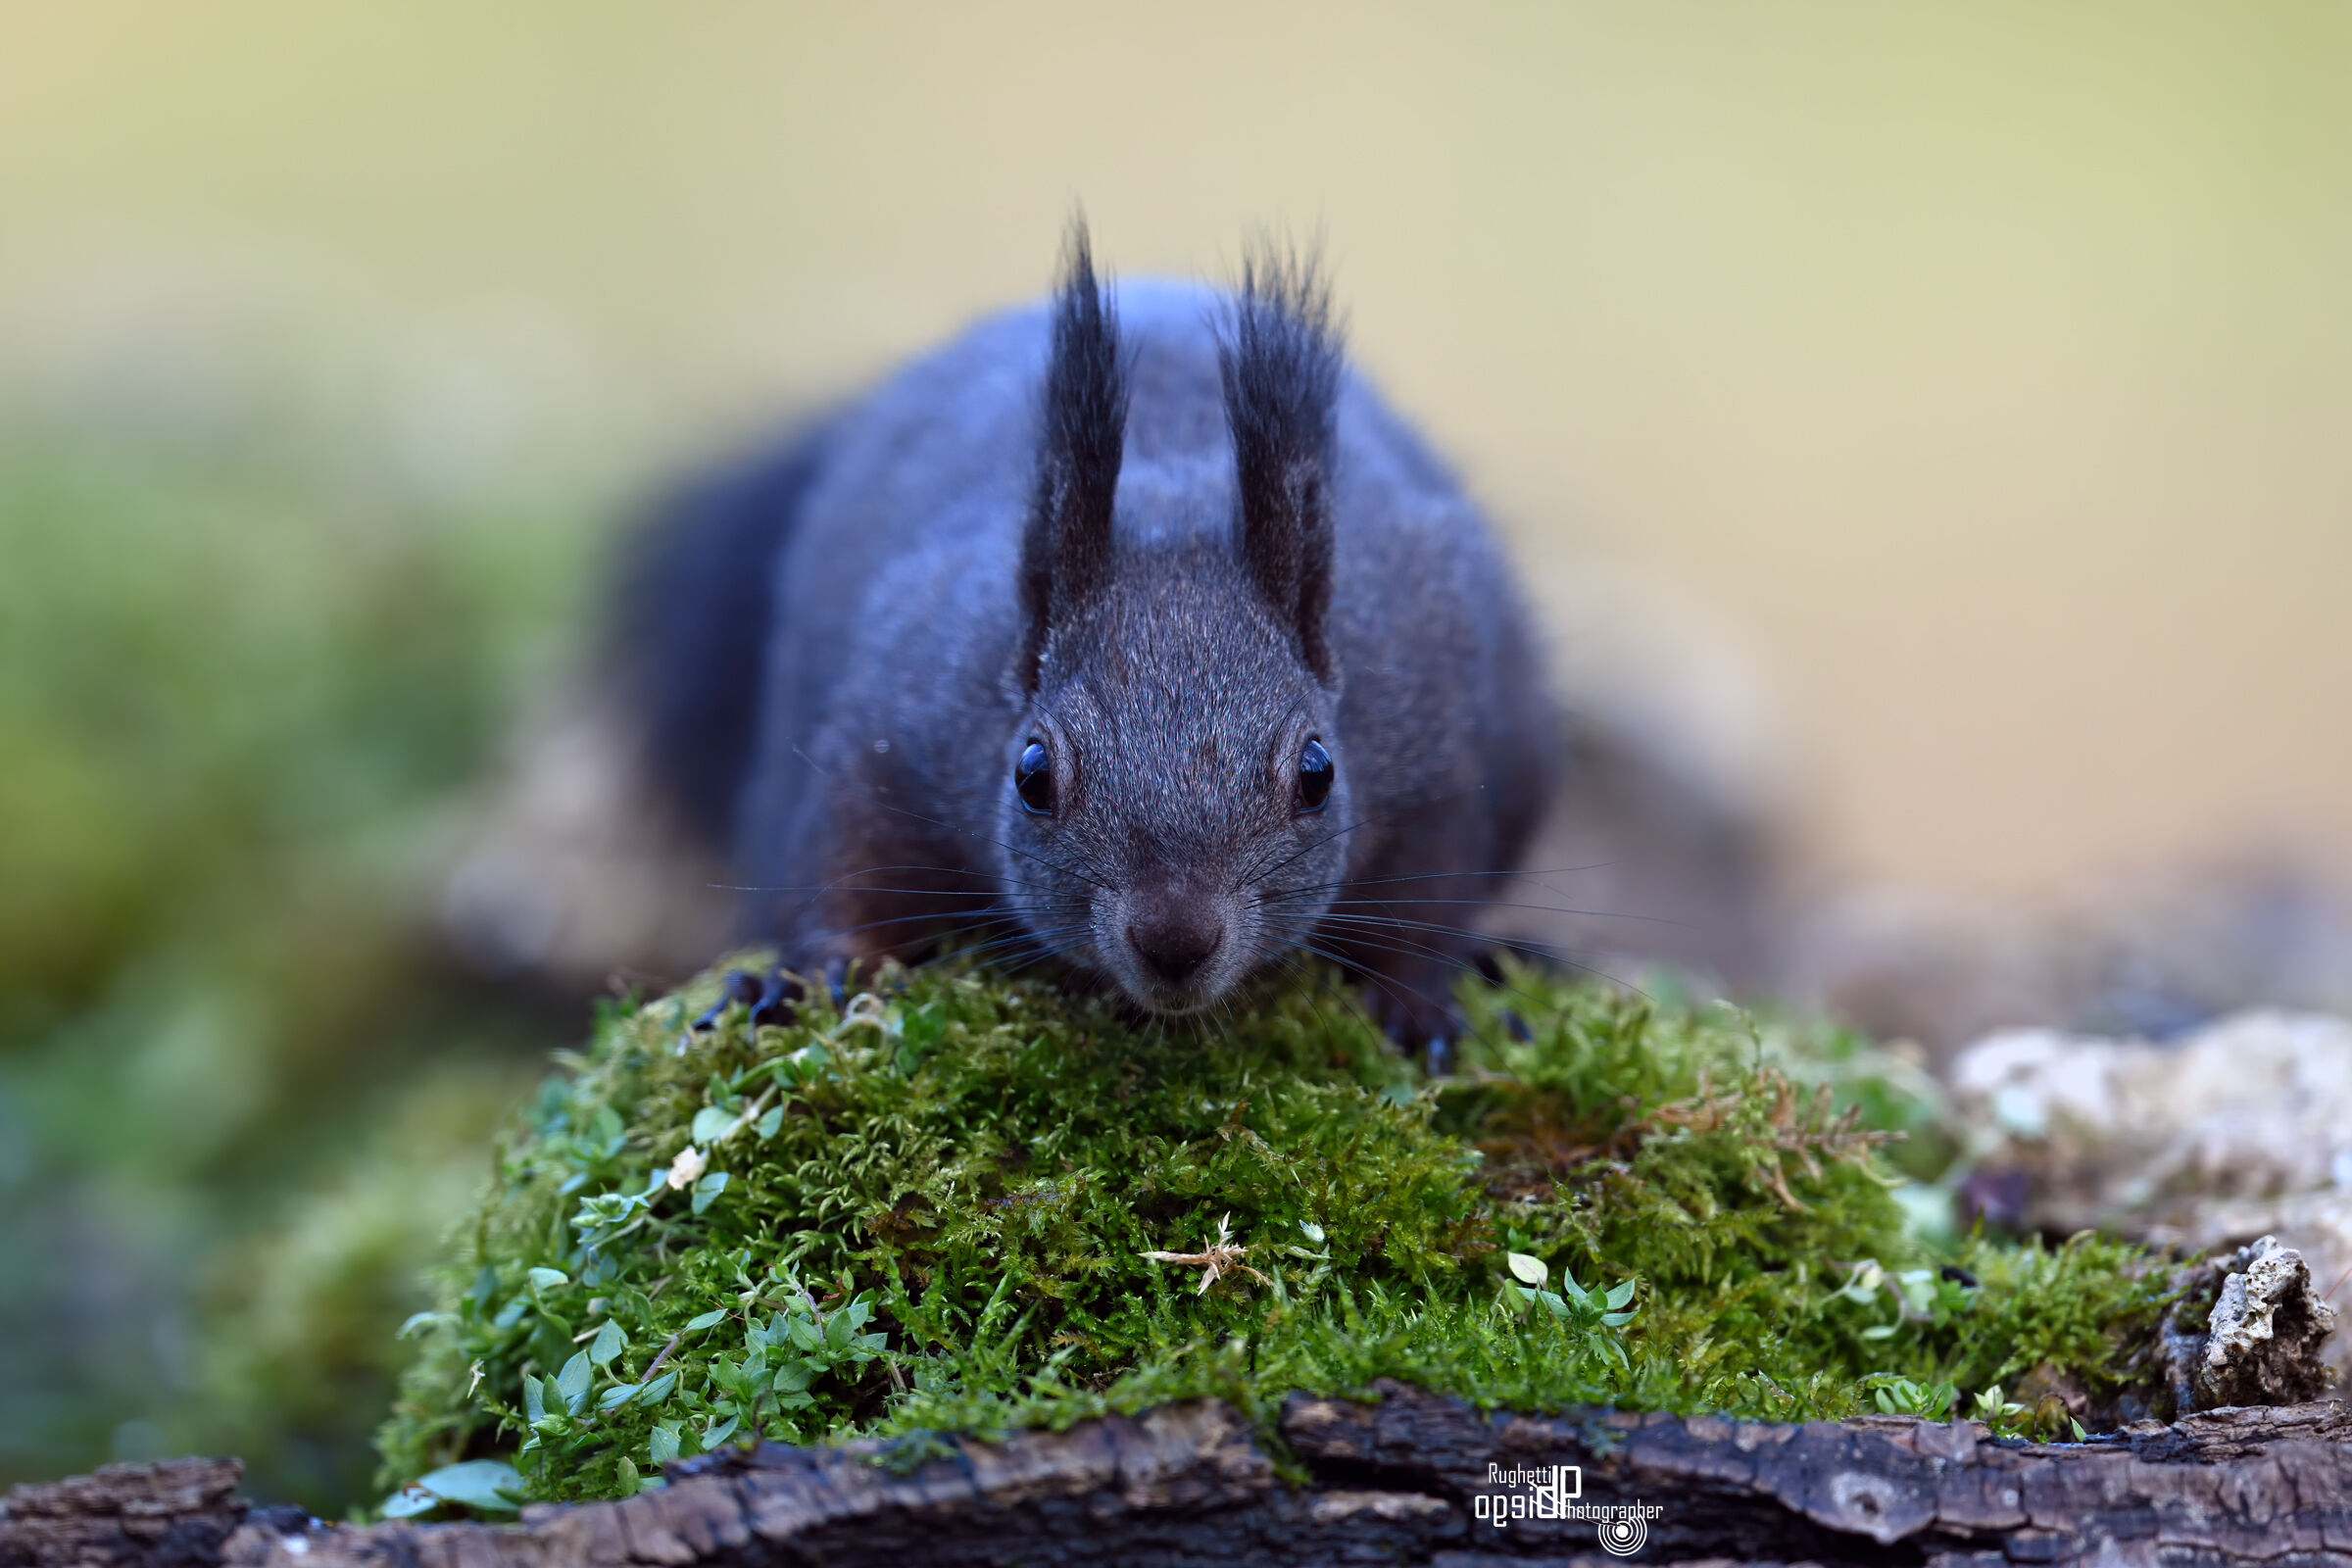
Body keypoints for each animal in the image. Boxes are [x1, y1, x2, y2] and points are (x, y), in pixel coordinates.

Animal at [616, 224, 1558, 1064]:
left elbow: (1434, 893)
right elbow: (843, 855)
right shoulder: (902, 722)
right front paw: (808, 974)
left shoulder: (1436, 735)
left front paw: (1420, 1003)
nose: (1175, 942)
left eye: (1318, 773)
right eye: (1031, 774)